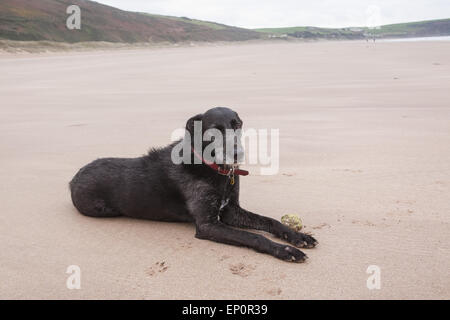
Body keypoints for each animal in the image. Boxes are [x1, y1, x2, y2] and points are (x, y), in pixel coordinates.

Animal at [70, 107, 316, 262]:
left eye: (237, 124)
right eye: (214, 130)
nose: (238, 154)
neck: (213, 168)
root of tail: (72, 179)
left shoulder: (231, 211)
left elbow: (270, 221)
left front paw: (297, 237)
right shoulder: (209, 224)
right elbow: (254, 236)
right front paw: (285, 250)